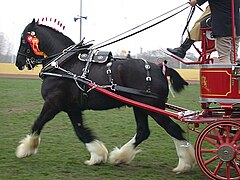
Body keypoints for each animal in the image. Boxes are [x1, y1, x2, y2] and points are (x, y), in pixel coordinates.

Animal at [14, 19, 195, 172]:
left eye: (23, 40)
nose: (18, 63)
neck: (62, 64)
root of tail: (159, 68)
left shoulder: (53, 103)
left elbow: (38, 123)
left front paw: (25, 149)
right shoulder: (72, 107)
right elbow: (81, 131)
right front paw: (97, 156)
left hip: (153, 108)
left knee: (173, 129)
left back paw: (184, 164)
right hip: (139, 107)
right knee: (143, 131)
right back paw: (120, 157)